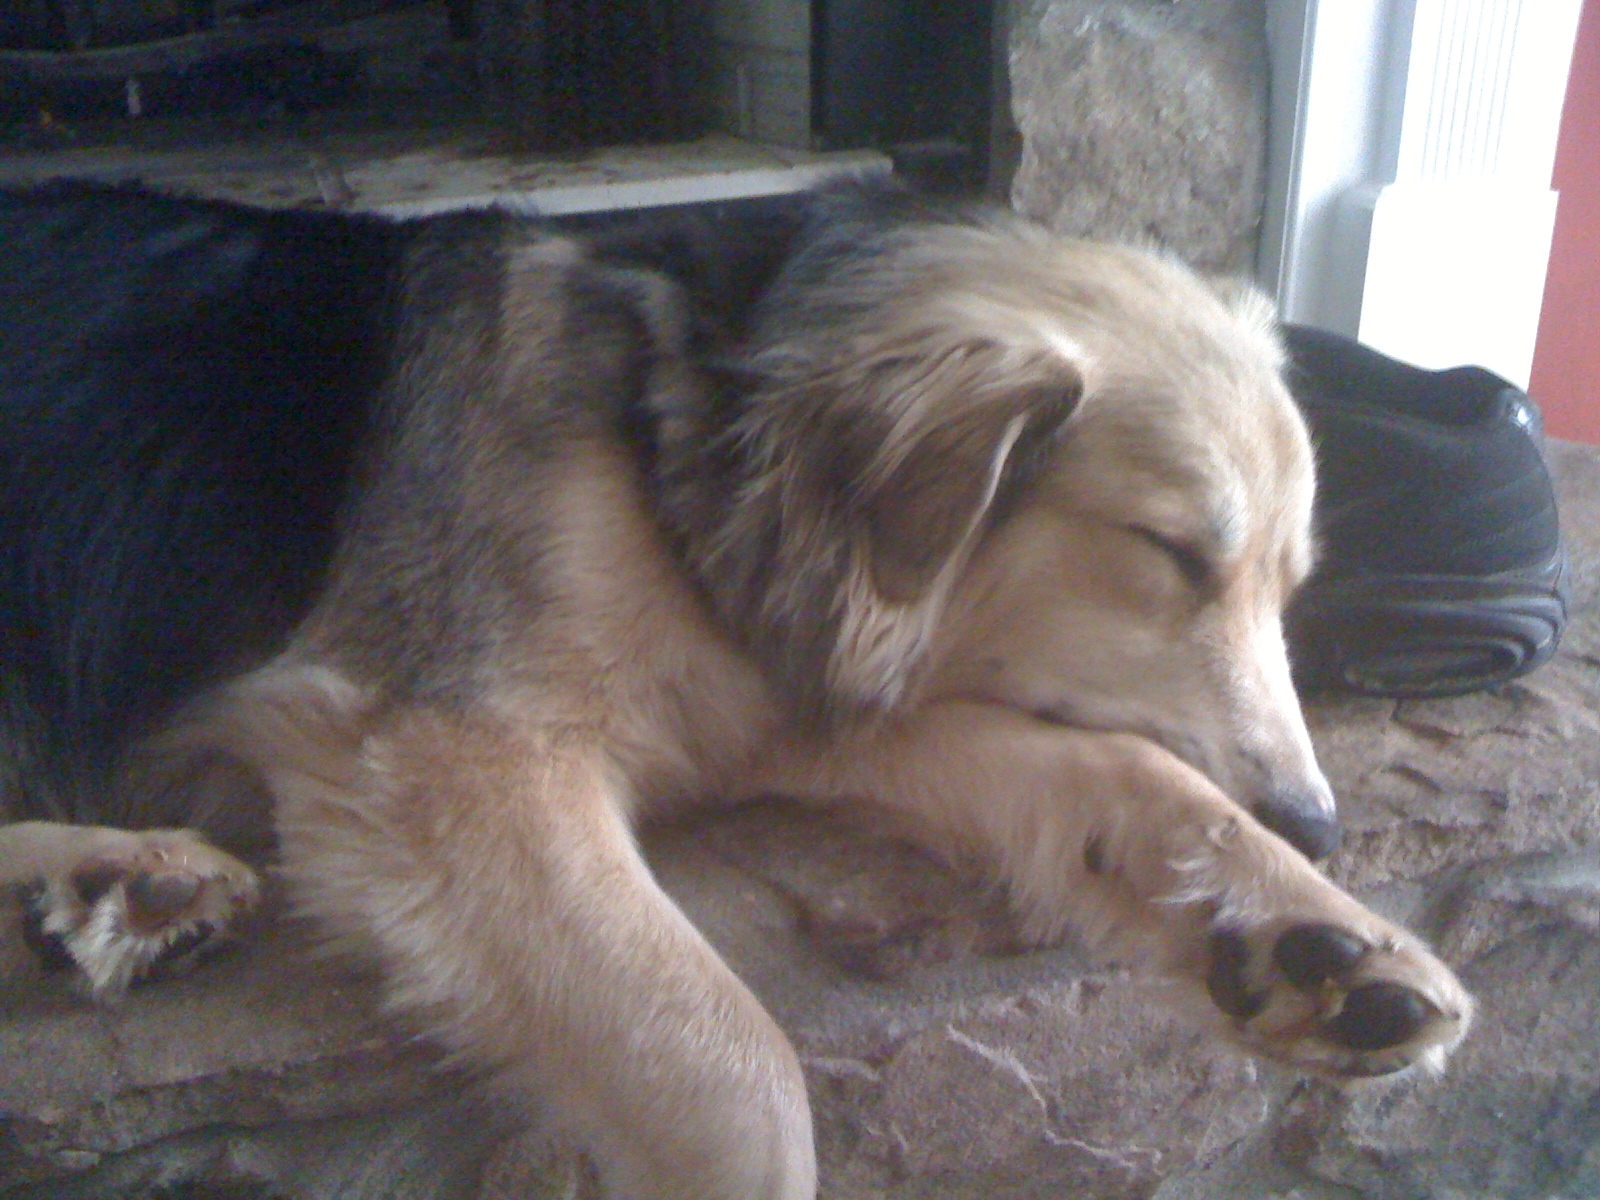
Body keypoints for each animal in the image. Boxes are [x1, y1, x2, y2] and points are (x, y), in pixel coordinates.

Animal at [0, 178, 1471, 1199]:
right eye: (1172, 553)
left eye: (1287, 582)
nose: (1320, 825)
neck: (687, 445)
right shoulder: (443, 750)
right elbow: (732, 1068)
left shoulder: (802, 707)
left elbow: (1129, 778)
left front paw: (1312, 935)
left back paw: (108, 886)